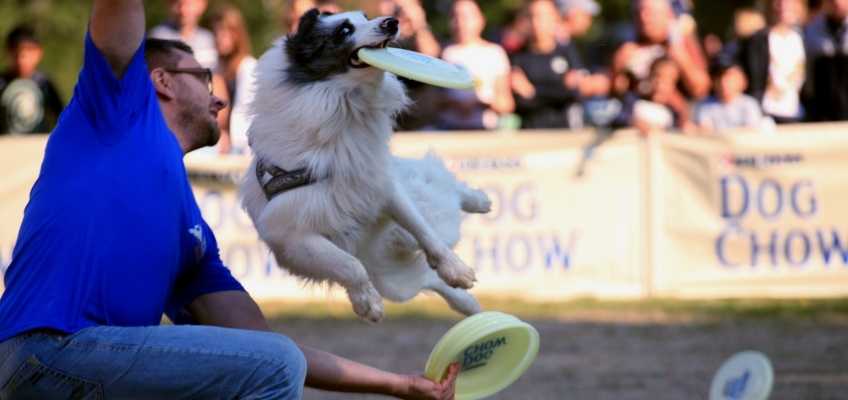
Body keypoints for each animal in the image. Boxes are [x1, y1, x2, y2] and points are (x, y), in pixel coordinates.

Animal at [238, 9, 490, 322]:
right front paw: (366, 302)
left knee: (437, 187)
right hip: (391, 280)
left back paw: (477, 202)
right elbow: (349, 265)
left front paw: (456, 268)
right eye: (344, 30)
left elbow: (423, 229)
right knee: (426, 278)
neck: (345, 103)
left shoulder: (380, 185)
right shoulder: (291, 234)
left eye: (365, 16)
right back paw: (469, 306)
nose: (392, 22)